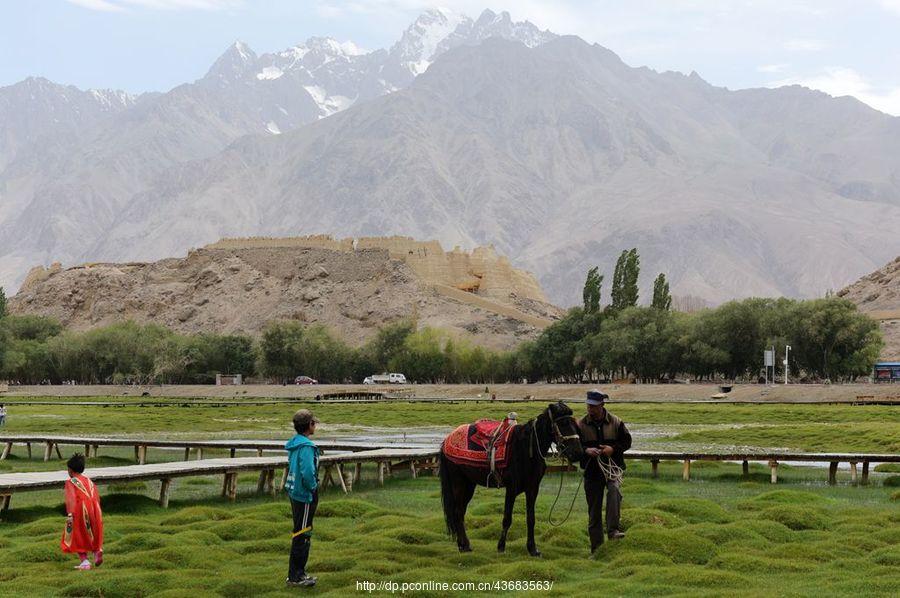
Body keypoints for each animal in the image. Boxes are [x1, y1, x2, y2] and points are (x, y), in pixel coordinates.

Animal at [438, 400, 584, 560]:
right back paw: (463, 546)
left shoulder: (533, 488)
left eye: (574, 423)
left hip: (469, 484)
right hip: (458, 482)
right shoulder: (511, 488)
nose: (578, 452)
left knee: (461, 512)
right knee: (458, 512)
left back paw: (465, 544)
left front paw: (533, 549)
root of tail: (447, 440)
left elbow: (531, 518)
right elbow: (507, 518)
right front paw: (501, 547)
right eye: (563, 423)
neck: (526, 449)